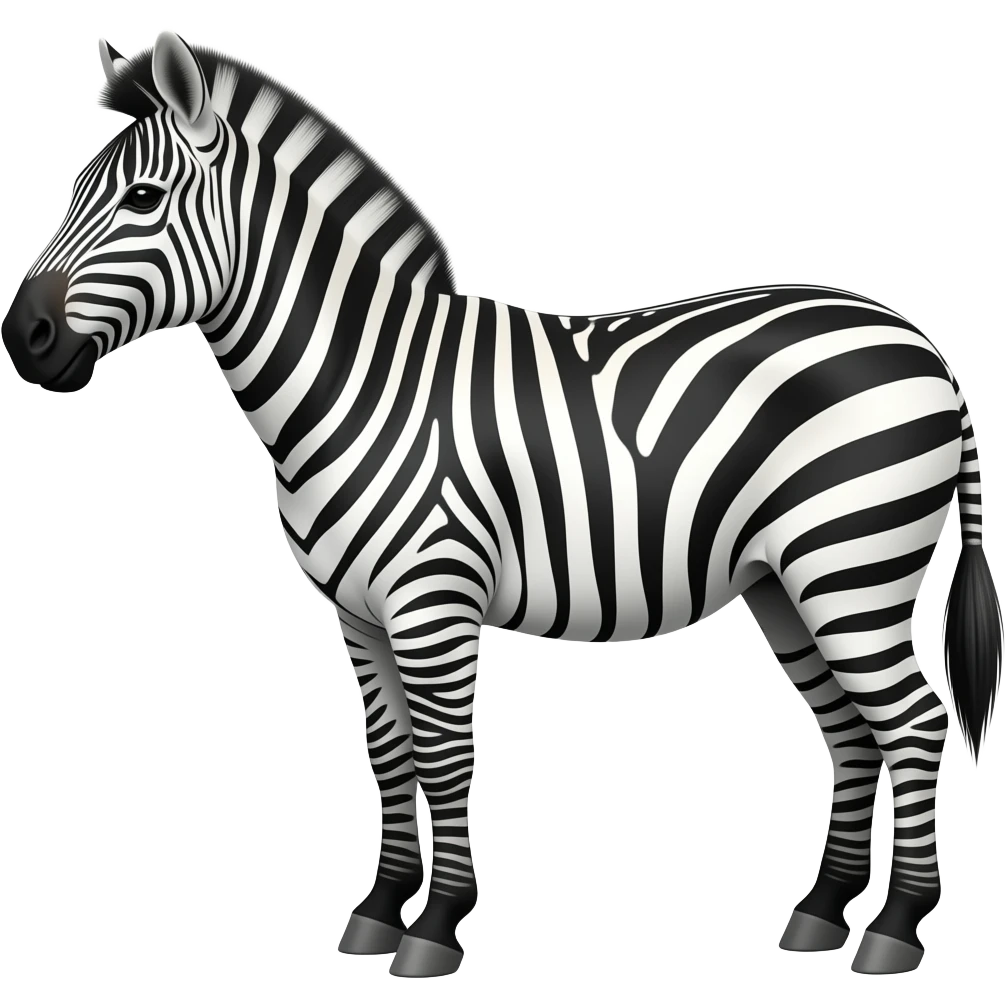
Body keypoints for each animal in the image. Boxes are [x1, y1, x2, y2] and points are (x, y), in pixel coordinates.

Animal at [1, 33, 1001, 979]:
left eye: (142, 199)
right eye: (76, 189)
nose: (24, 339)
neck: (363, 383)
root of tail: (923, 344)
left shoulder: (432, 600)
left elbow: (446, 757)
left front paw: (435, 928)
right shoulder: (358, 616)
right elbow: (390, 754)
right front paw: (378, 913)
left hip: (851, 567)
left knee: (913, 723)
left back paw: (895, 930)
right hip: (784, 583)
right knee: (851, 731)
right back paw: (821, 915)